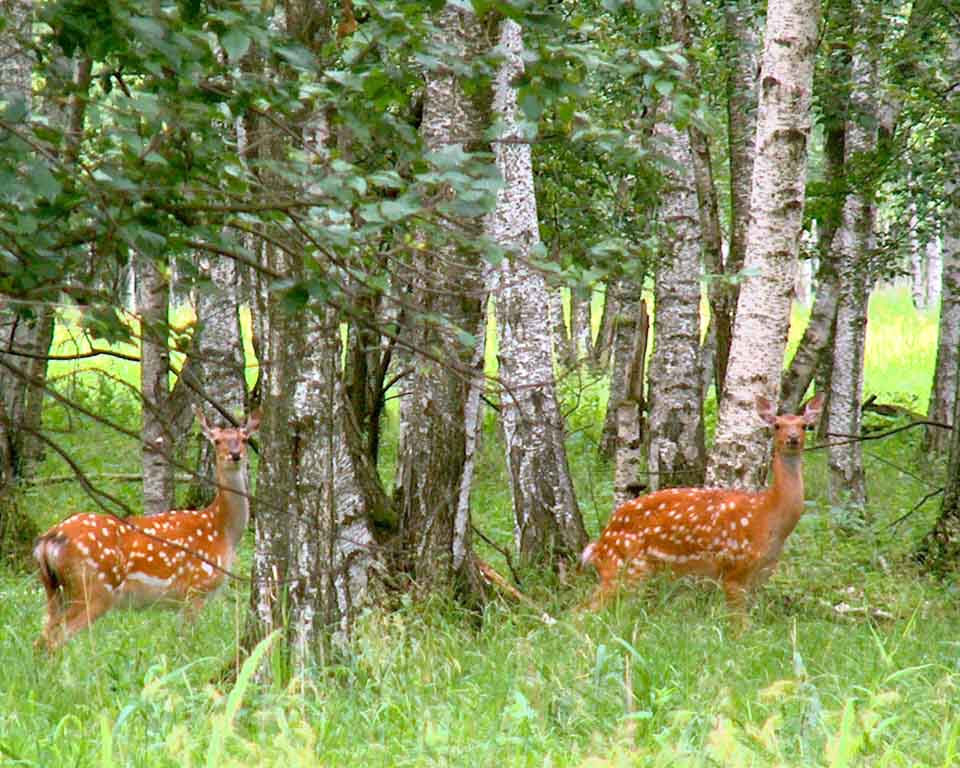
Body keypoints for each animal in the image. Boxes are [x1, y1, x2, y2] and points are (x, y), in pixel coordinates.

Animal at [33, 408, 260, 650]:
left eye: (244, 439)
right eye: (217, 441)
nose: (235, 454)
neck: (222, 530)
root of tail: (48, 540)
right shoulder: (196, 588)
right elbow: (186, 641)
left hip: (54, 590)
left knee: (40, 639)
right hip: (94, 587)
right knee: (56, 640)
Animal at [581, 393, 824, 617]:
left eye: (804, 425)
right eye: (777, 425)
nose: (793, 438)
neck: (768, 516)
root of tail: (601, 541)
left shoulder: (759, 576)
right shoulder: (733, 569)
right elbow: (739, 626)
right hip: (622, 566)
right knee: (582, 612)